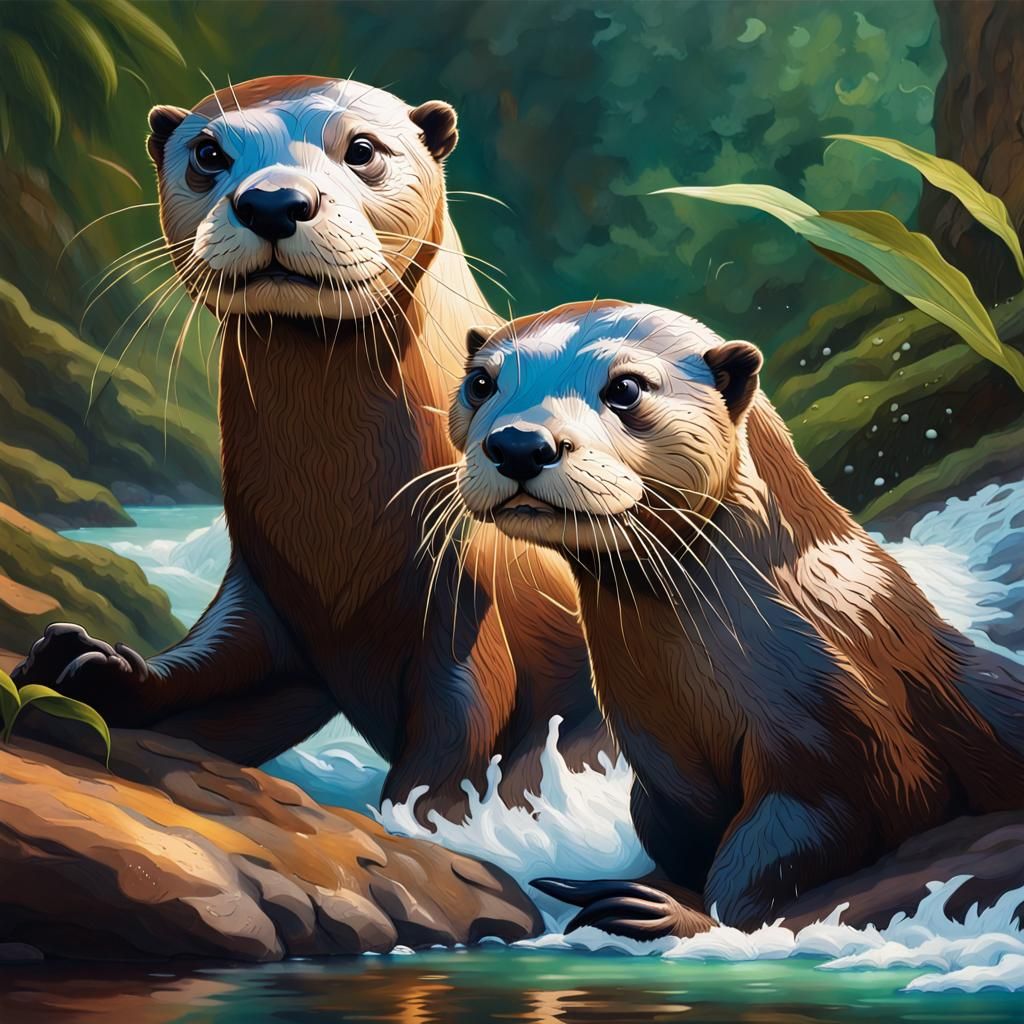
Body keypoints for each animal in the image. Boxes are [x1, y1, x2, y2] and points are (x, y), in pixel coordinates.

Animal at [13, 77, 609, 816]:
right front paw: (88, 666)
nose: (273, 201)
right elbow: (211, 668)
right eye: (208, 153)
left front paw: (426, 816)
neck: (339, 524)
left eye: (362, 148)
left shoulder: (469, 601)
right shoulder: (268, 591)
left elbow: (459, 738)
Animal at [448, 300, 1024, 937]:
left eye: (625, 388)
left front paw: (670, 913)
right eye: (481, 383)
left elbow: (763, 866)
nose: (520, 442)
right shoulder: (662, 770)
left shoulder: (838, 745)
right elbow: (675, 838)